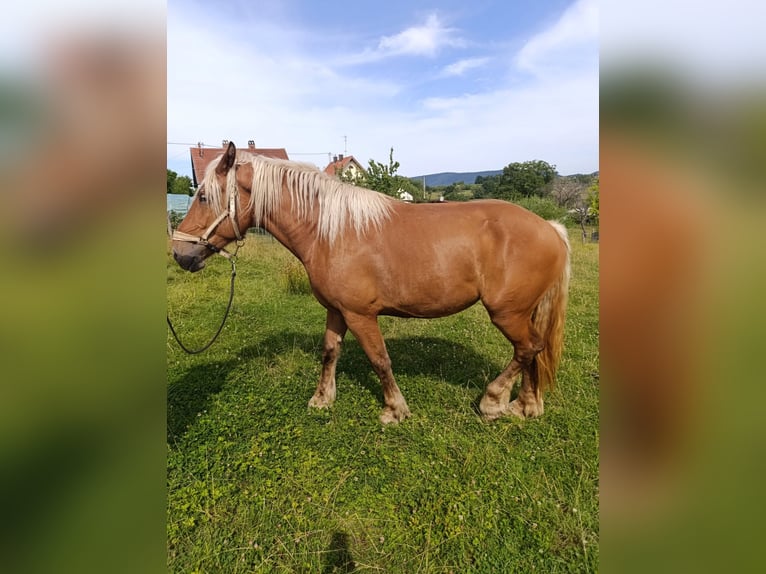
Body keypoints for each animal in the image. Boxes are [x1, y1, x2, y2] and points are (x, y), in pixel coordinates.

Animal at [171, 142, 570, 424]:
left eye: (204, 196)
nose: (179, 253)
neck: (330, 231)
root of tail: (550, 227)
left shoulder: (360, 314)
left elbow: (380, 359)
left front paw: (394, 409)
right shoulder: (336, 310)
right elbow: (330, 352)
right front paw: (322, 399)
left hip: (507, 313)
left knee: (527, 348)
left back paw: (493, 401)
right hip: (523, 312)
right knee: (532, 350)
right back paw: (526, 405)